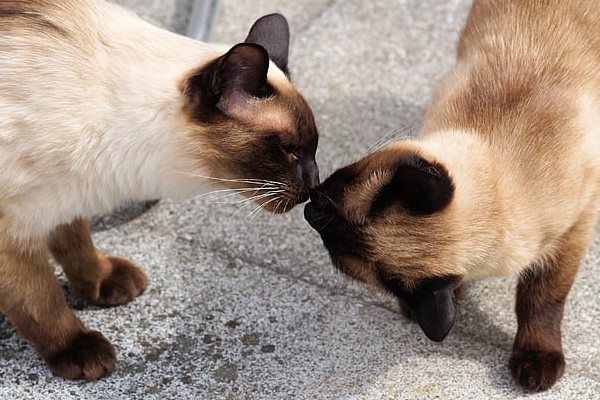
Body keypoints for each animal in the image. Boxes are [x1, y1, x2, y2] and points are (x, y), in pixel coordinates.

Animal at [0, 0, 318, 382]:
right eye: (289, 151)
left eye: (314, 148)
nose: (315, 184)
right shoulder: (12, 227)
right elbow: (39, 298)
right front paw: (76, 348)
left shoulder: (65, 196)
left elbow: (77, 245)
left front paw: (101, 282)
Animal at [308, 0, 596, 394]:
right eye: (327, 234)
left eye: (334, 191)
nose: (308, 210)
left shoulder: (572, 231)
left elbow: (542, 300)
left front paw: (537, 360)